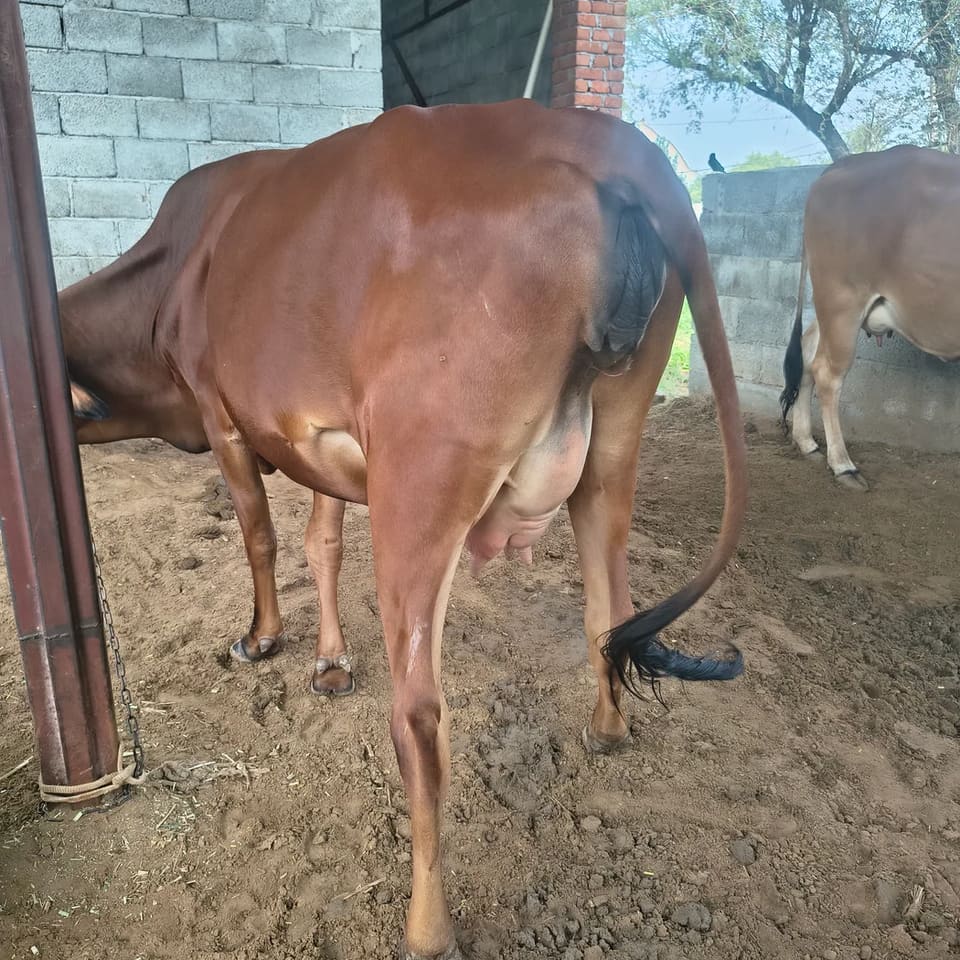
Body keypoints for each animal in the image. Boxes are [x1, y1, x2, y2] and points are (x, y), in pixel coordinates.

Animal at [63, 99, 746, 959]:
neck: (175, 274)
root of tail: (608, 143)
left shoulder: (224, 420)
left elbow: (260, 536)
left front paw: (261, 638)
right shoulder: (317, 441)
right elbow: (322, 543)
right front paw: (329, 663)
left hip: (419, 482)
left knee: (418, 714)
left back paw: (427, 928)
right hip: (611, 452)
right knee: (608, 612)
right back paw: (607, 730)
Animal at [781, 145, 960, 490]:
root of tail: (847, 163)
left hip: (828, 306)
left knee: (808, 352)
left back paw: (807, 442)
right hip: (842, 300)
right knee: (827, 374)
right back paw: (843, 465)